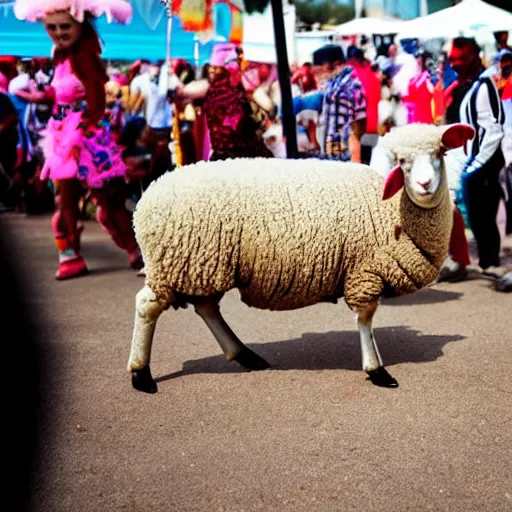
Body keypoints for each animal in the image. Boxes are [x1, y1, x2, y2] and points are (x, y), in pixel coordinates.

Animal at [127, 123, 476, 392]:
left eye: (440, 154)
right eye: (402, 161)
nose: (424, 185)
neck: (392, 209)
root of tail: (147, 198)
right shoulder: (364, 271)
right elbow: (365, 319)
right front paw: (377, 370)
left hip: (202, 265)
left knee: (206, 308)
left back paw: (244, 355)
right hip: (177, 261)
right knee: (147, 306)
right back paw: (141, 375)